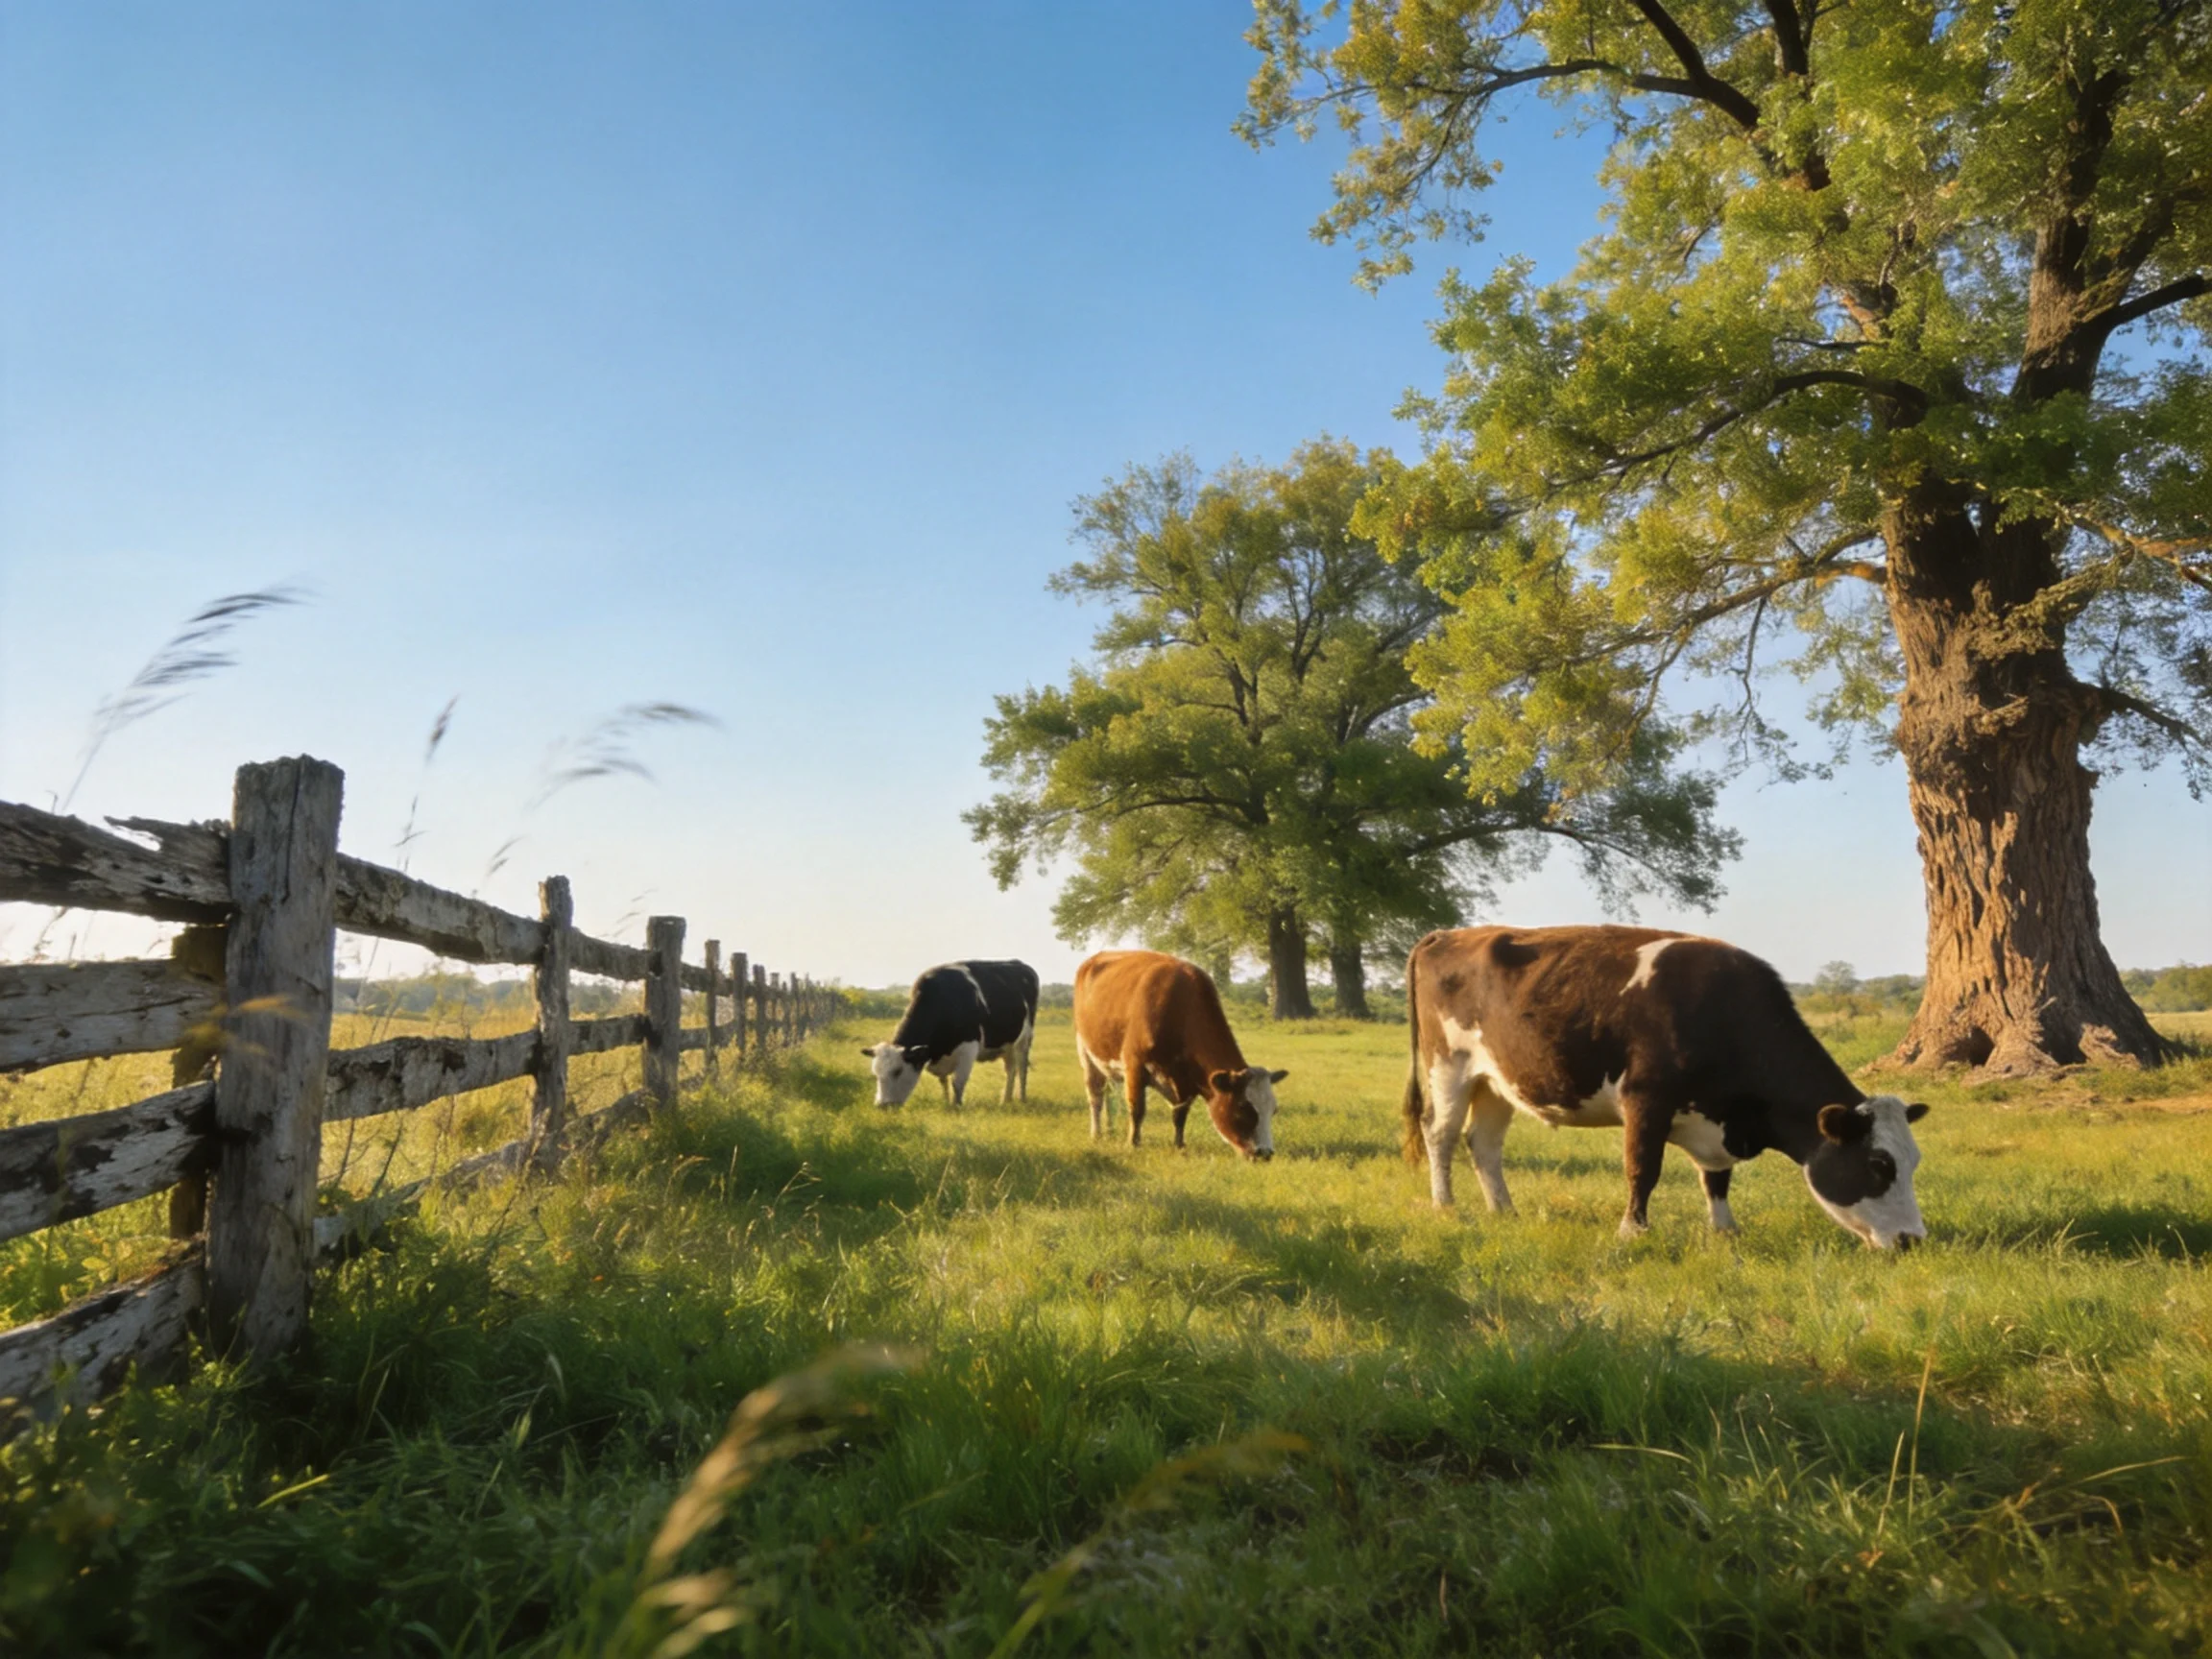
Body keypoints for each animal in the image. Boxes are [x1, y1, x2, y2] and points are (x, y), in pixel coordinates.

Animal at [862, 959, 1039, 1108]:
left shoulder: (968, 1049)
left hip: (1025, 1040)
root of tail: (1018, 963)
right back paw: (1006, 1100)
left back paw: (1021, 1098)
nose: (881, 1105)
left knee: (1022, 1069)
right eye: (876, 1074)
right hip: (1007, 1044)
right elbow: (943, 1081)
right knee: (1010, 1069)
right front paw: (946, 1102)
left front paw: (956, 1106)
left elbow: (957, 1083)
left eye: (897, 1071)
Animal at [1072, 950, 1286, 1160]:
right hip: (1086, 1053)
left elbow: (1180, 1114)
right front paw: (1133, 1144)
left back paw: (1110, 1130)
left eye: (1273, 1110)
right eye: (1243, 1108)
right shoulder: (1134, 1066)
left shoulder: (1186, 1080)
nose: (1265, 1153)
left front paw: (1179, 1145)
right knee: (1096, 1096)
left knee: (1110, 1094)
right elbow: (1137, 1109)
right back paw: (1097, 1134)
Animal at [1402, 926, 1930, 1249]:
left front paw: (1725, 1231)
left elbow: (1716, 1178)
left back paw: (1504, 1210)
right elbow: (1643, 1169)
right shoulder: (1646, 1100)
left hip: (1496, 1081)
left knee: (1483, 1143)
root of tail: (1449, 934)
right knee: (1440, 1134)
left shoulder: (1714, 1122)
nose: (1914, 1241)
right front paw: (1631, 1232)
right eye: (1878, 1165)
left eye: (1913, 1163)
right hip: (1449, 1068)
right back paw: (1445, 1205)